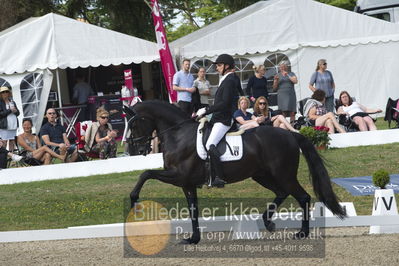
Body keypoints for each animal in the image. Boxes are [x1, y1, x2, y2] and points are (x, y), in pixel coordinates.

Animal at [126, 101, 346, 244]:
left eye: (134, 124)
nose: (137, 149)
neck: (178, 135)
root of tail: (291, 135)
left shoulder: (178, 176)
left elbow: (145, 173)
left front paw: (134, 200)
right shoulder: (187, 183)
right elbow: (193, 209)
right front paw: (193, 239)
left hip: (284, 175)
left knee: (303, 197)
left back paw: (301, 233)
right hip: (262, 175)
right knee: (281, 193)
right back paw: (268, 222)